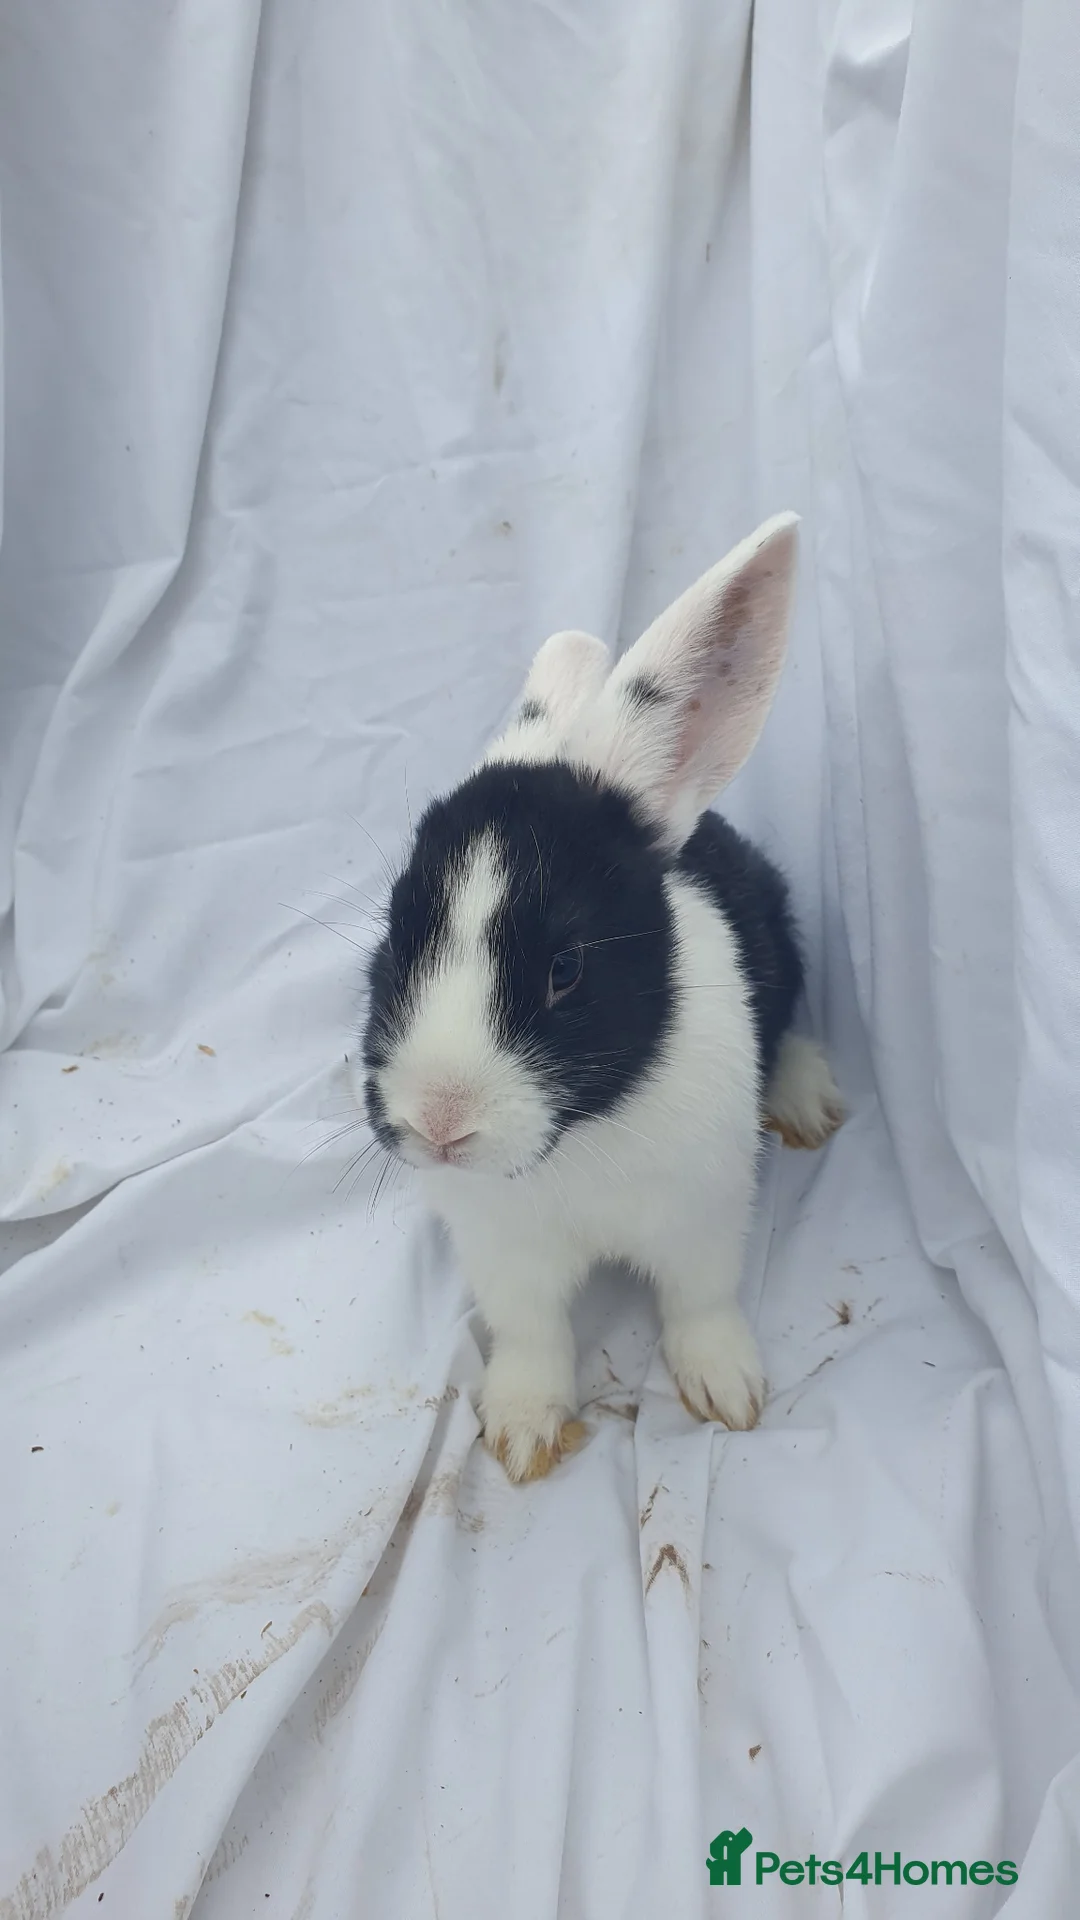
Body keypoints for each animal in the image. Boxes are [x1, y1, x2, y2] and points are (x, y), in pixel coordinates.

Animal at [358, 512, 842, 1482]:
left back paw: (807, 1097)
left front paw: (727, 1391)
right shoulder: (505, 1253)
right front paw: (521, 1434)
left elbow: (700, 1302)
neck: (578, 1140)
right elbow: (532, 1335)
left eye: (567, 967)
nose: (439, 1122)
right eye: (395, 934)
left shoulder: (704, 1215)